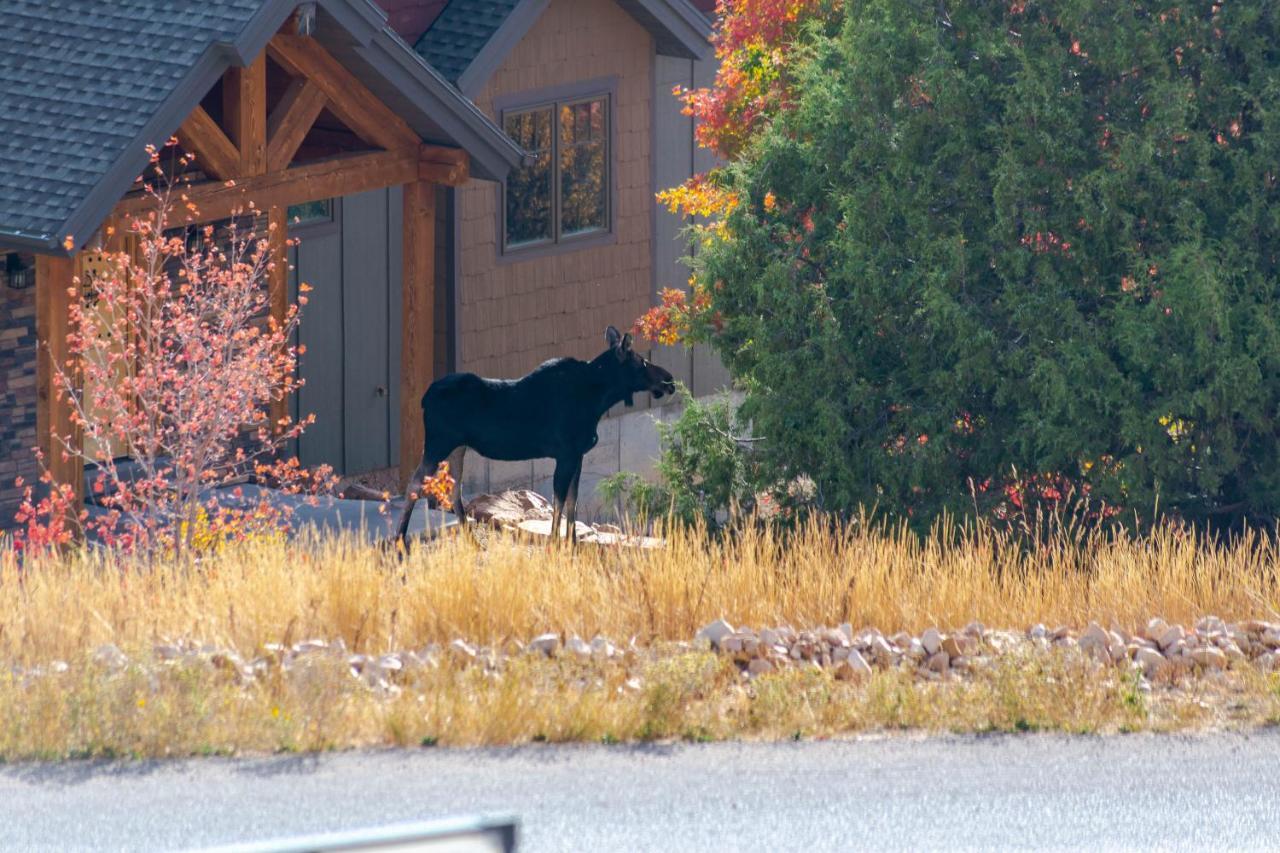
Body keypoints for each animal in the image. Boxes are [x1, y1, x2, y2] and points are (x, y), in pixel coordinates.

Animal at [396, 322, 680, 548]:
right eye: (641, 362)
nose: (670, 380)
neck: (598, 399)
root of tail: (424, 398)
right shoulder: (566, 454)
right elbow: (559, 503)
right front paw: (556, 545)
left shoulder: (577, 455)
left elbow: (572, 503)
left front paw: (572, 544)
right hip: (438, 443)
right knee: (414, 484)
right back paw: (400, 540)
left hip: (458, 446)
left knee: (455, 489)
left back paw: (471, 540)